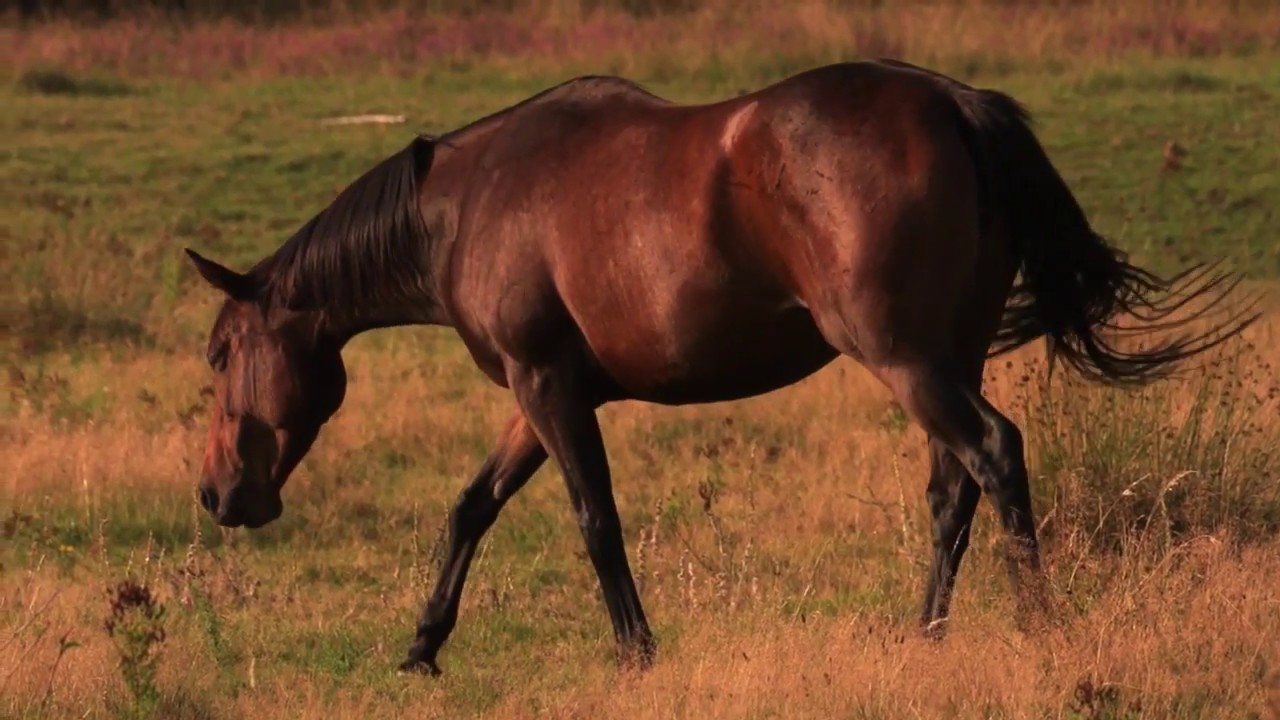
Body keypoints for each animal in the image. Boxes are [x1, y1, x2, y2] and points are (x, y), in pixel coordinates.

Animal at [184, 59, 1256, 675]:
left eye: (221, 352)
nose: (216, 494)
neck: (466, 204)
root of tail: (956, 105)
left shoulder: (548, 390)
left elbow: (594, 520)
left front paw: (635, 654)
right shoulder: (537, 398)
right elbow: (470, 509)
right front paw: (421, 647)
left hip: (907, 359)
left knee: (995, 455)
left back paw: (1041, 629)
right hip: (946, 358)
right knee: (953, 490)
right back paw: (926, 639)